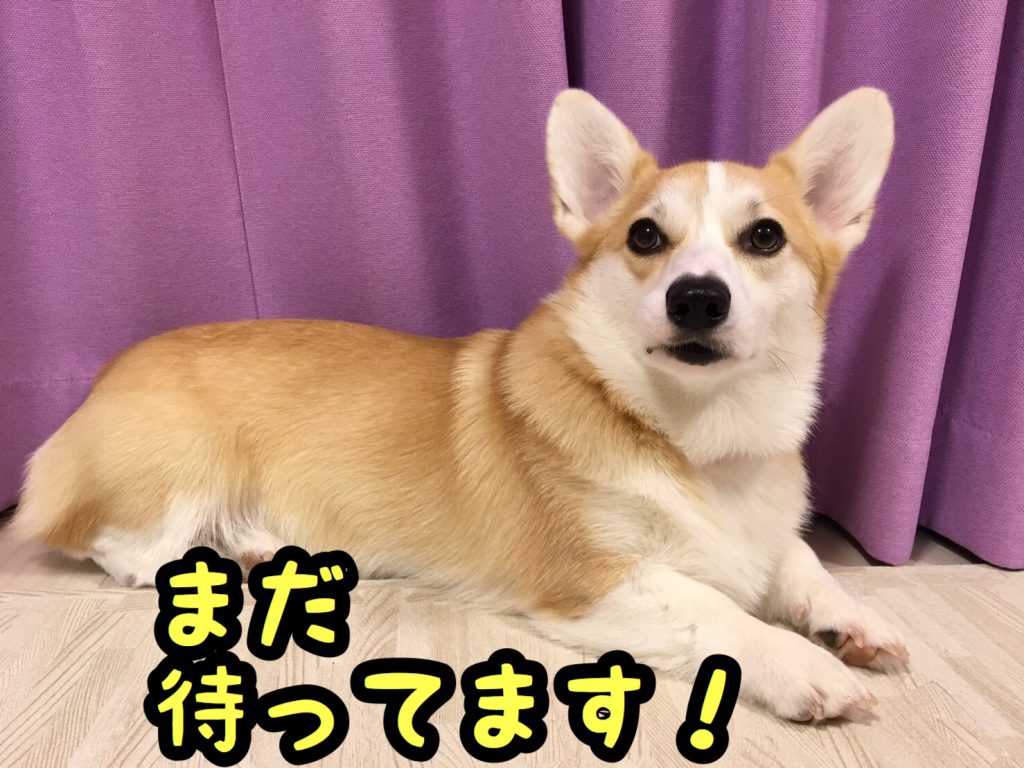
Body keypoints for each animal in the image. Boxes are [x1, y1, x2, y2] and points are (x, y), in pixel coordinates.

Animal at [14, 88, 907, 721]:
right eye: (646, 238)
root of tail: (101, 380)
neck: (693, 434)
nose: (696, 298)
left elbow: (801, 564)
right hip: (181, 471)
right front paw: (806, 665)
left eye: (766, 238)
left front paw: (853, 622)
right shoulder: (592, 580)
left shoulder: (762, 534)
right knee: (122, 548)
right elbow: (720, 612)